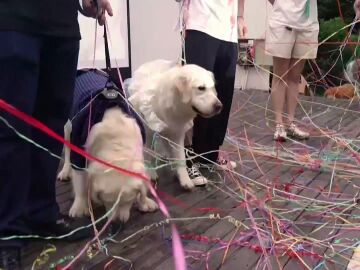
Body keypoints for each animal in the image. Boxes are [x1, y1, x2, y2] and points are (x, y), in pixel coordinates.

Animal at [128, 59, 221, 190]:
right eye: (201, 88)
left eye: (212, 88)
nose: (219, 106)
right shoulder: (149, 132)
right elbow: (148, 154)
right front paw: (151, 173)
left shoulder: (178, 133)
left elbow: (181, 157)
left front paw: (185, 179)